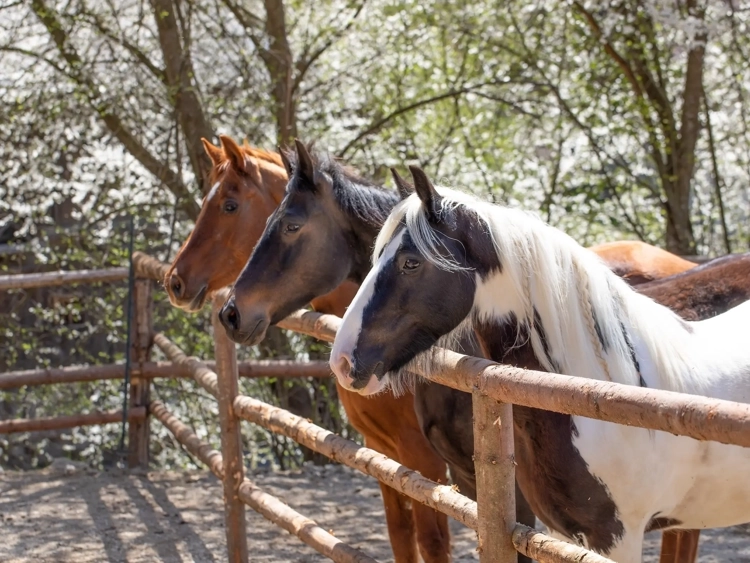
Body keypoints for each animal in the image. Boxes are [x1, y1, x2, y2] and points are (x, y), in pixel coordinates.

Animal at [165, 136, 451, 563]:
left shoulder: (425, 462)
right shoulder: (383, 452)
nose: (175, 281)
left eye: (229, 205)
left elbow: (433, 543)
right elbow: (401, 535)